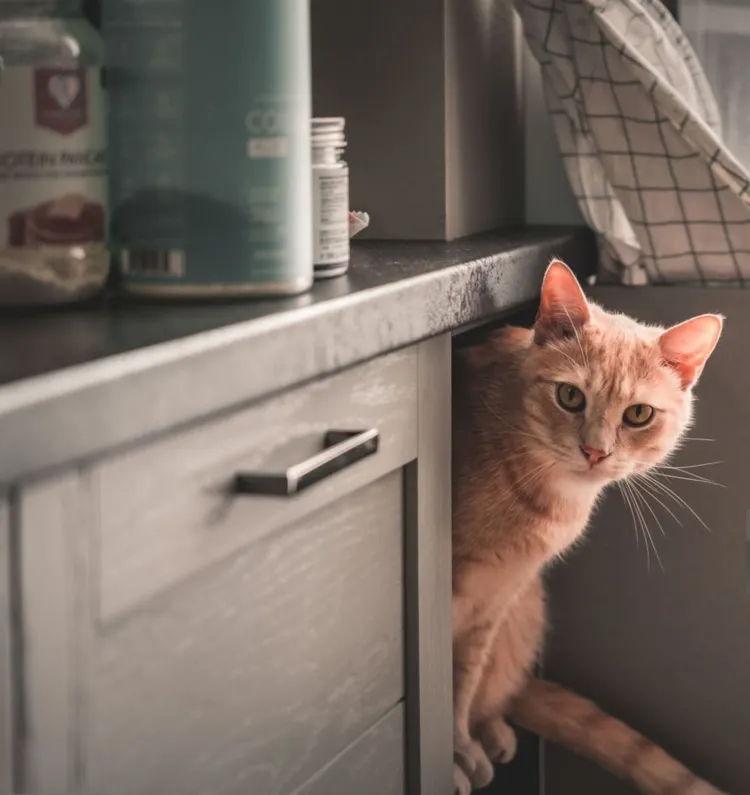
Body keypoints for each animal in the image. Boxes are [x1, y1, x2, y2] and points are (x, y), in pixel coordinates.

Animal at [452, 258, 728, 792]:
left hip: (525, 608)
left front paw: (457, 746)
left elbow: (462, 685)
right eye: (569, 396)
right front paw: (451, 759)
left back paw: (491, 732)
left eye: (638, 414)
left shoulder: (493, 603)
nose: (595, 451)